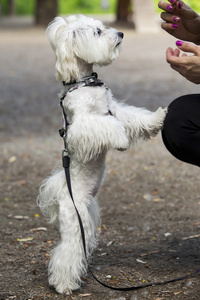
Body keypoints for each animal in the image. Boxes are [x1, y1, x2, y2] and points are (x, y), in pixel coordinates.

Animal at [37, 15, 167, 294]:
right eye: (97, 31)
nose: (120, 34)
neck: (83, 82)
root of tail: (62, 195)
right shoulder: (83, 124)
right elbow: (109, 127)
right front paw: (121, 140)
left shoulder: (114, 108)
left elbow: (132, 117)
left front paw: (158, 118)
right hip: (74, 223)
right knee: (66, 253)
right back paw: (64, 284)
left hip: (85, 220)